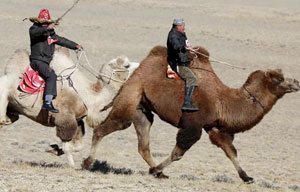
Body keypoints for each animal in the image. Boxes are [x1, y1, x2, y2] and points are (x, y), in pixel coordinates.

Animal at [0, 47, 135, 165]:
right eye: (126, 65)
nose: (138, 66)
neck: (86, 96)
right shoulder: (65, 119)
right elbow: (67, 146)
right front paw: (71, 165)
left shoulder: (77, 119)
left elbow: (78, 145)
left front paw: (54, 149)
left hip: (13, 107)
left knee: (12, 118)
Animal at [82, 45, 300, 183]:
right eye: (279, 79)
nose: (296, 82)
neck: (222, 101)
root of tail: (136, 71)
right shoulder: (194, 124)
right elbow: (179, 152)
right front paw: (157, 169)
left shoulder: (214, 127)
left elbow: (230, 150)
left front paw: (247, 177)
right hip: (131, 94)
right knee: (106, 128)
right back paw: (87, 163)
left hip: (141, 108)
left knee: (143, 142)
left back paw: (158, 173)